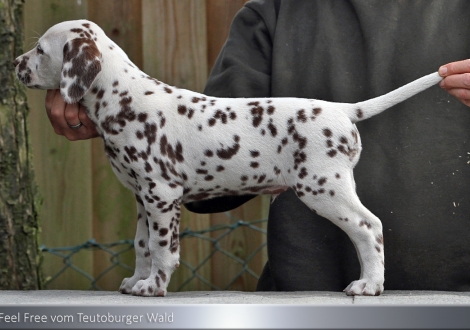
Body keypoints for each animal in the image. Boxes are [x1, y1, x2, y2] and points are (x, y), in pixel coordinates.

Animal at [13, 19, 440, 298]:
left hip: (324, 189)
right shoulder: (140, 198)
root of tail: (342, 110)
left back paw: (370, 284)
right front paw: (137, 281)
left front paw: (154, 287)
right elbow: (142, 245)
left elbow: (163, 250)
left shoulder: (162, 195)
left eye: (40, 50)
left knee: (369, 227)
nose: (15, 63)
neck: (124, 98)